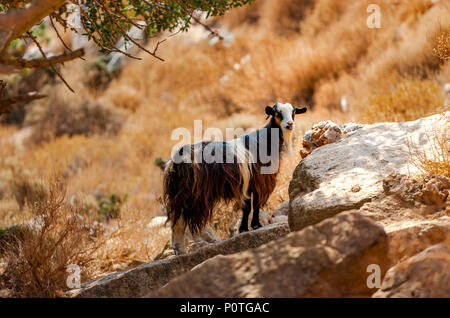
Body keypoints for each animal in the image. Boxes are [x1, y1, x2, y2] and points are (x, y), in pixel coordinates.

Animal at [163, 102, 308, 253]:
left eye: (293, 112)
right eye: (277, 113)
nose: (290, 124)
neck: (263, 142)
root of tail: (174, 162)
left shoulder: (252, 183)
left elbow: (252, 205)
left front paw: (251, 226)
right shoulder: (255, 181)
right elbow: (250, 206)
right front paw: (249, 228)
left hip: (178, 192)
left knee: (175, 217)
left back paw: (178, 249)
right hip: (190, 193)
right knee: (180, 218)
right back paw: (181, 249)